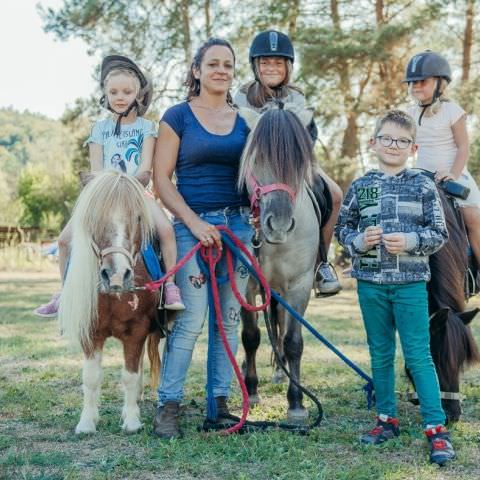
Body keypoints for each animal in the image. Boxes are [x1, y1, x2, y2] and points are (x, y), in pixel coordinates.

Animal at [58, 172, 160, 436]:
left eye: (138, 217)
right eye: (95, 218)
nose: (116, 275)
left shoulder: (138, 330)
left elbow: (129, 375)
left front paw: (132, 420)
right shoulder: (89, 332)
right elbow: (91, 377)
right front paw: (87, 422)